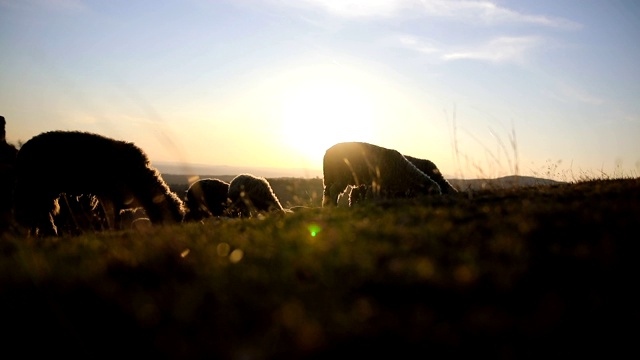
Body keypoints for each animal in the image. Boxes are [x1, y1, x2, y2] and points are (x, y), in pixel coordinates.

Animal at [12, 129, 185, 236]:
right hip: (37, 188)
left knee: (36, 214)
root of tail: (22, 151)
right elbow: (113, 218)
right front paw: (114, 232)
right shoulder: (110, 194)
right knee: (37, 214)